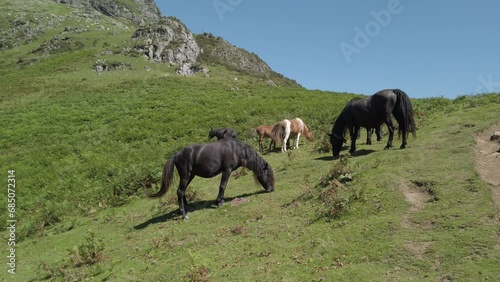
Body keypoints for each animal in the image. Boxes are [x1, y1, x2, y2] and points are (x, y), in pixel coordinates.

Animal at [146, 138, 276, 219]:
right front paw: (219, 202)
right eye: (268, 175)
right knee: (180, 191)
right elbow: (222, 186)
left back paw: (187, 207)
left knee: (182, 191)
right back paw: (183, 214)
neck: (236, 150)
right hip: (186, 175)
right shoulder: (227, 170)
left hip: (190, 176)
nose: (272, 189)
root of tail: (176, 155)